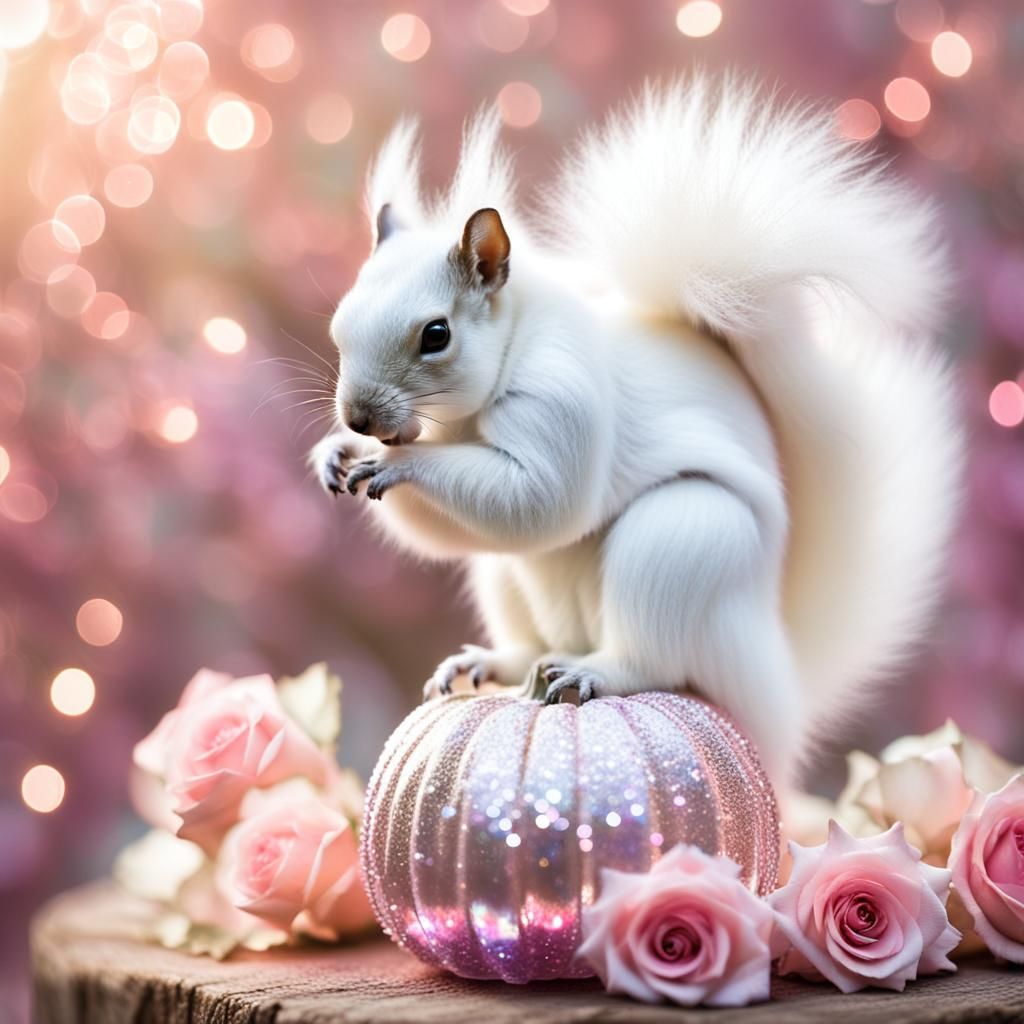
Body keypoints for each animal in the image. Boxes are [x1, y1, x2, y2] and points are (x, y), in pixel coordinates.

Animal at [310, 77, 963, 787]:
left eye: (436, 334)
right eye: (341, 321)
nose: (358, 417)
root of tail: (772, 681)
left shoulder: (565, 397)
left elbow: (541, 501)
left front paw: (398, 464)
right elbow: (445, 529)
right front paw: (338, 452)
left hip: (680, 542)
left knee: (656, 661)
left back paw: (595, 672)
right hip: (506, 581)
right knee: (532, 637)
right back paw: (493, 662)